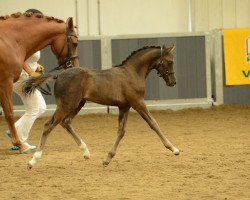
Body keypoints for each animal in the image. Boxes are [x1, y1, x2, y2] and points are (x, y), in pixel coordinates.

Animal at [0, 12, 79, 153]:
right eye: (75, 43)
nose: (76, 67)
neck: (10, 40)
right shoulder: (5, 83)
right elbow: (9, 113)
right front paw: (20, 144)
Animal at [23, 44, 180, 168]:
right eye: (170, 61)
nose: (173, 82)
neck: (131, 73)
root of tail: (59, 75)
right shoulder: (138, 103)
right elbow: (153, 123)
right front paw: (174, 149)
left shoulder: (125, 107)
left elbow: (121, 131)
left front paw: (107, 159)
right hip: (66, 105)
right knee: (48, 125)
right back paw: (33, 161)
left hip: (78, 104)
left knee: (66, 122)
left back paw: (86, 152)